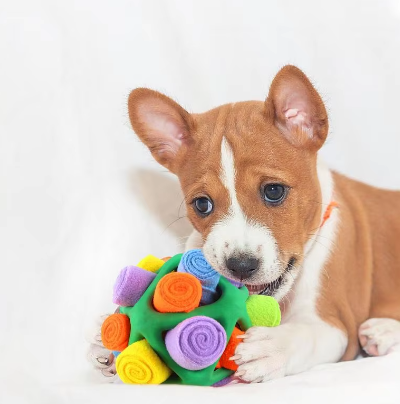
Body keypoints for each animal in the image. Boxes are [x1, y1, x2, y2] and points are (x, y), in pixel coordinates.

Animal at [88, 65, 400, 382]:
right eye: (202, 204)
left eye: (273, 191)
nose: (240, 265)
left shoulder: (334, 323)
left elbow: (304, 337)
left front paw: (271, 347)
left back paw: (383, 331)